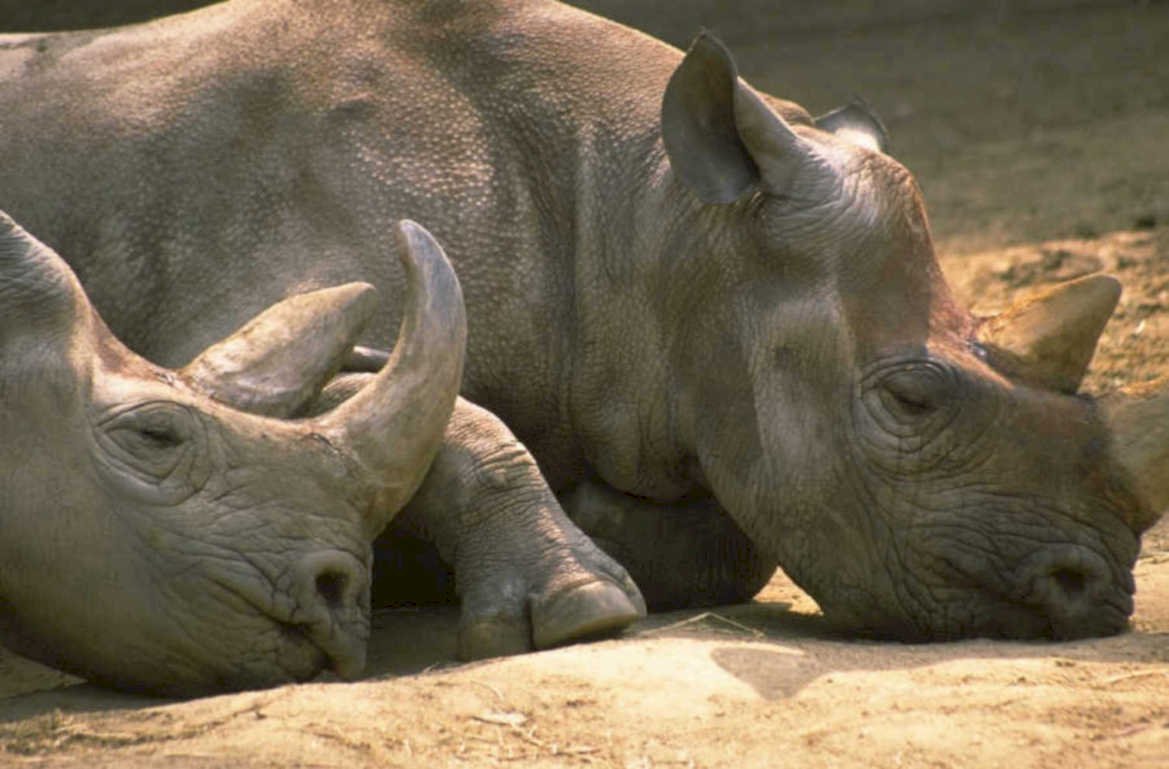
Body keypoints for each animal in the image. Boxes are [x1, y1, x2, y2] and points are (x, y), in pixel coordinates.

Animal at [2, 0, 1167, 690]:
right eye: (911, 399)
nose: (1094, 593)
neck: (650, 218)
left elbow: (734, 530)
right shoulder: (227, 321)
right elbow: (426, 406)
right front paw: (580, 603)